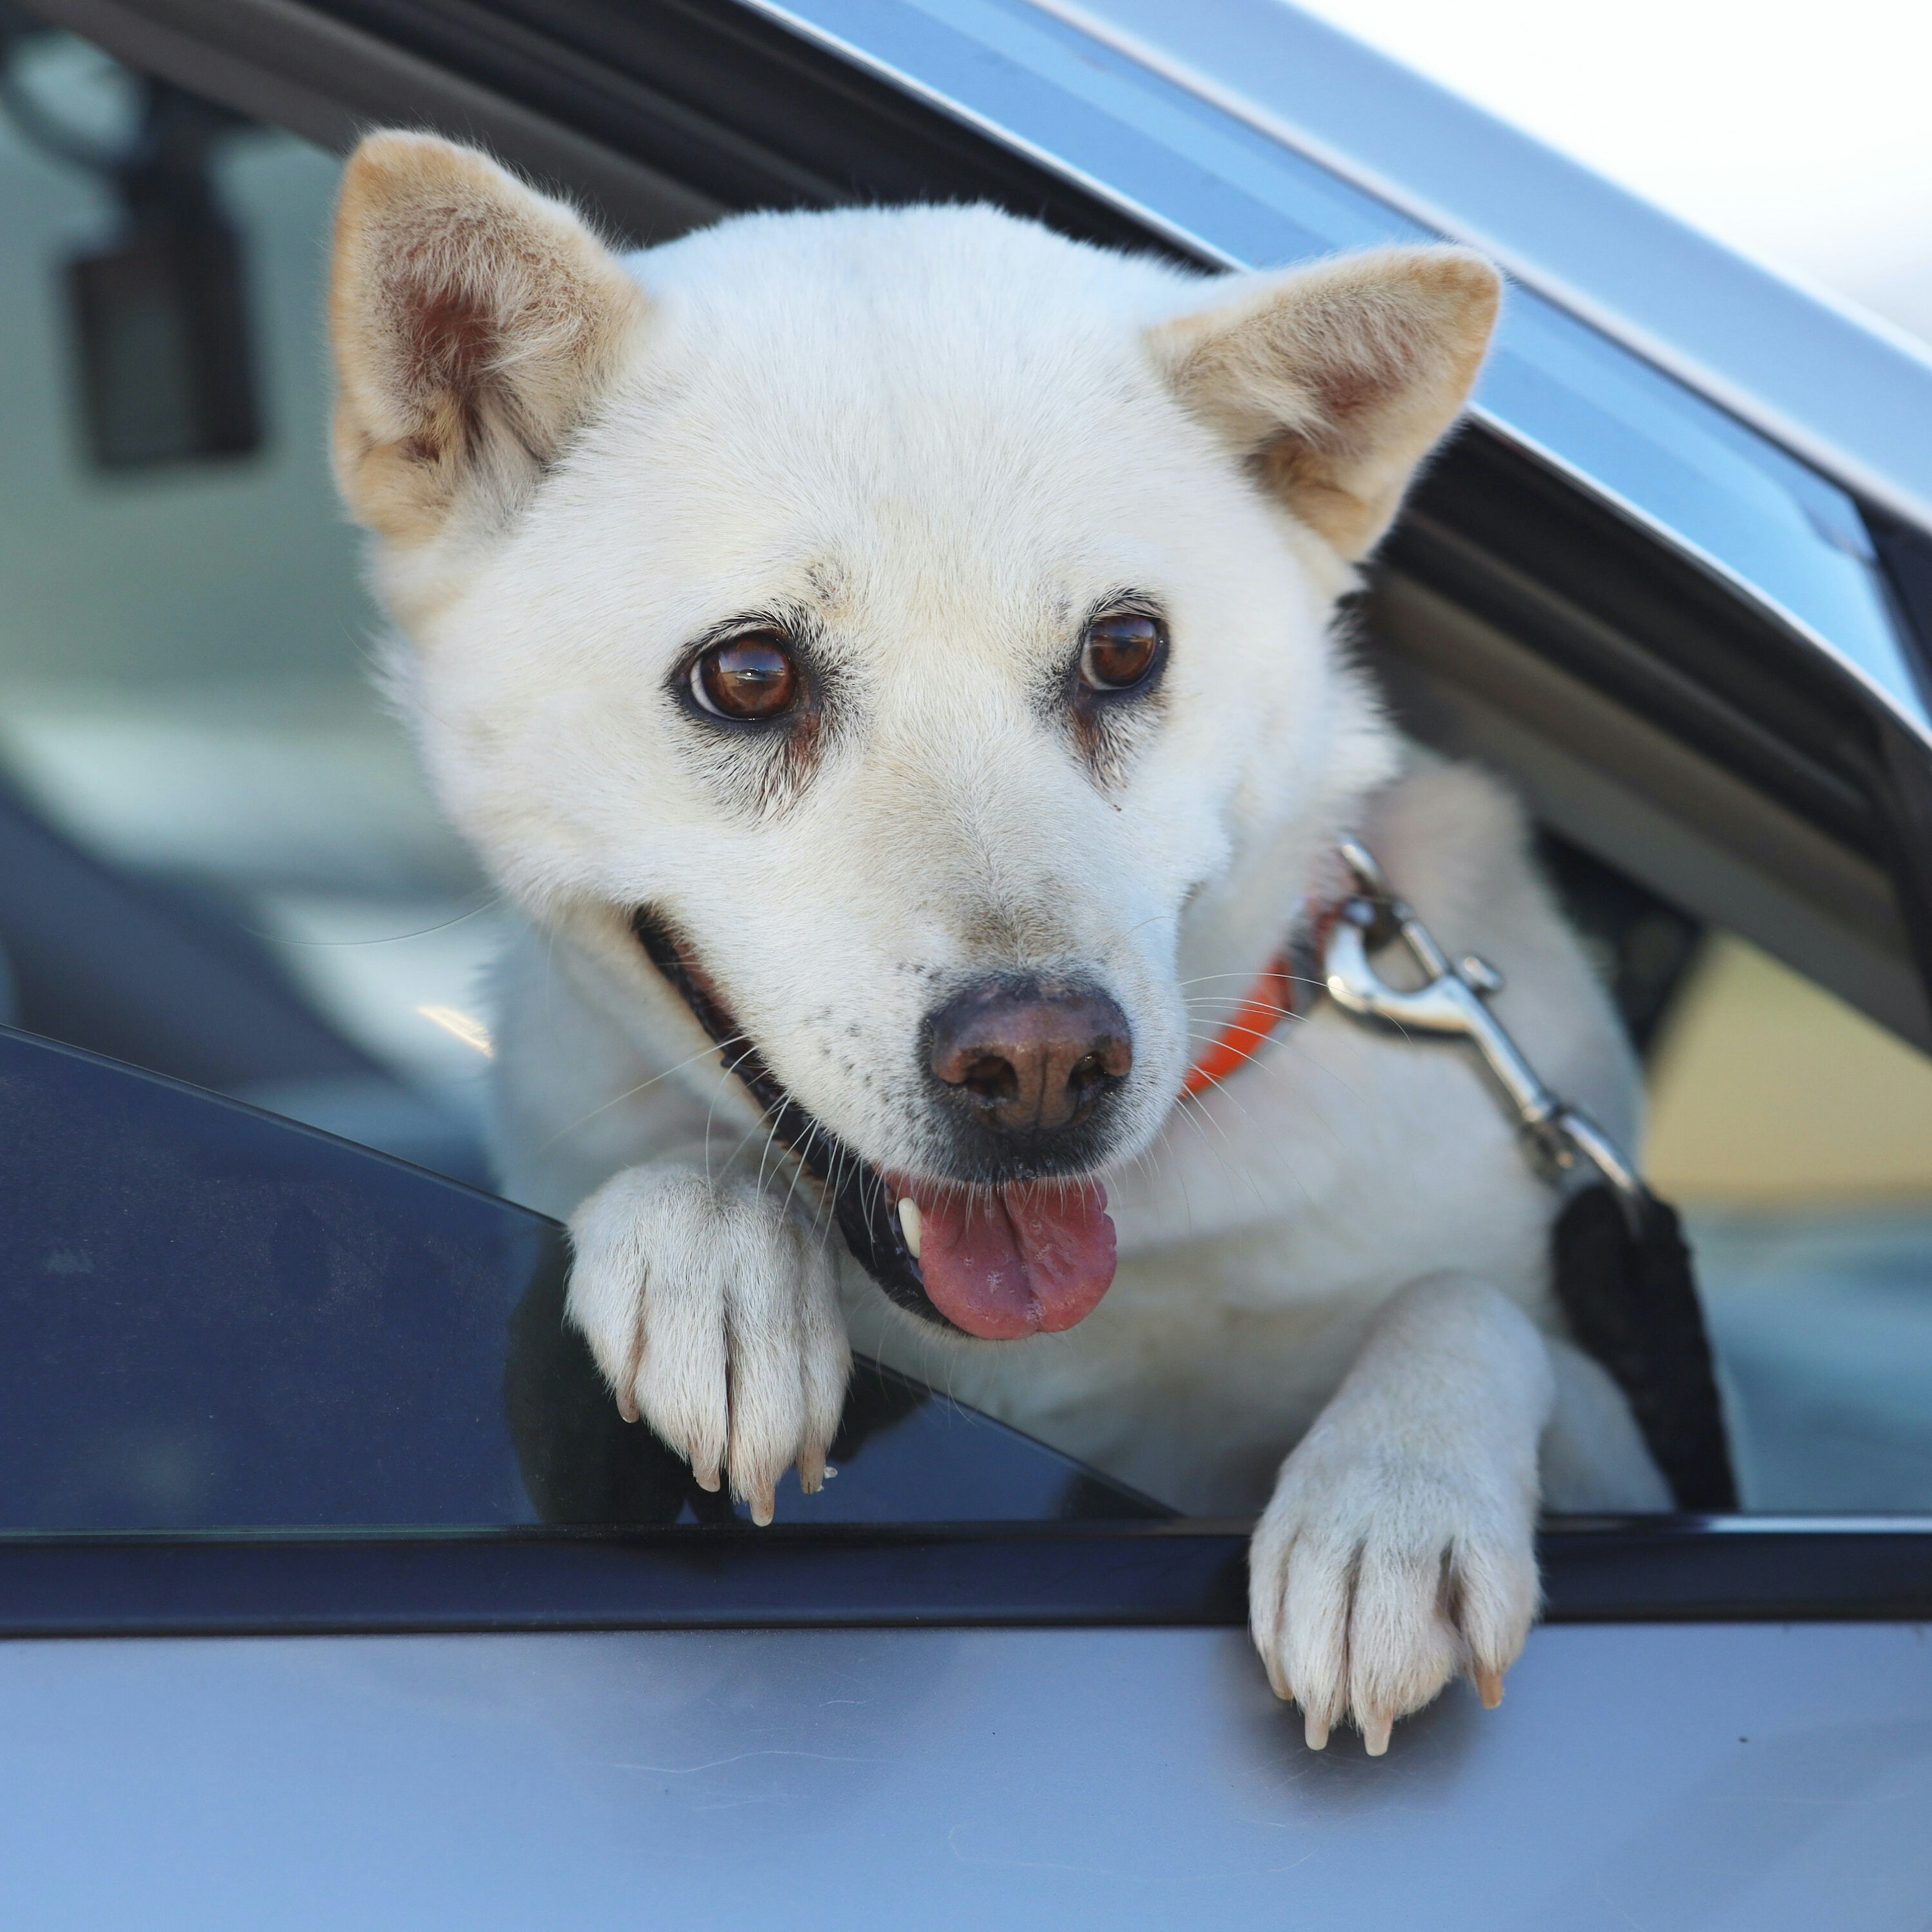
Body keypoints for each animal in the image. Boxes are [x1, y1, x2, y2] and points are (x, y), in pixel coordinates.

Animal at [328, 128, 1661, 1762]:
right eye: (748, 676)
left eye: (1125, 651)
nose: (1040, 1065)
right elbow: (667, 1193)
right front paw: (713, 1247)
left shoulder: (1634, 1444)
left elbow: (1469, 1304)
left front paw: (1392, 1501)